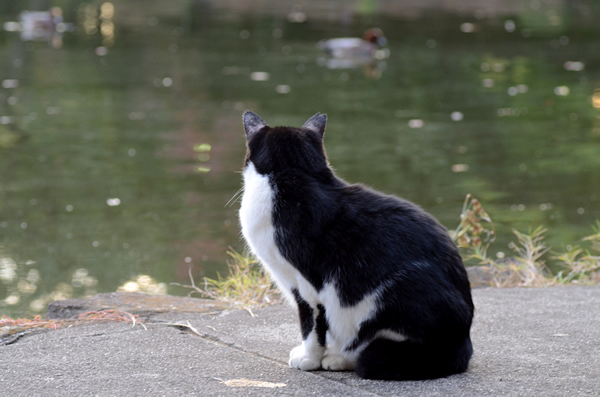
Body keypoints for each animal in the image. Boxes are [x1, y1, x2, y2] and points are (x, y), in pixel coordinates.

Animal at [238, 111, 474, 380]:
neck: (292, 175)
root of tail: (463, 341)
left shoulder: (306, 285)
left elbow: (311, 325)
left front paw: (309, 359)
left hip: (397, 291)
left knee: (369, 344)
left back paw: (342, 358)